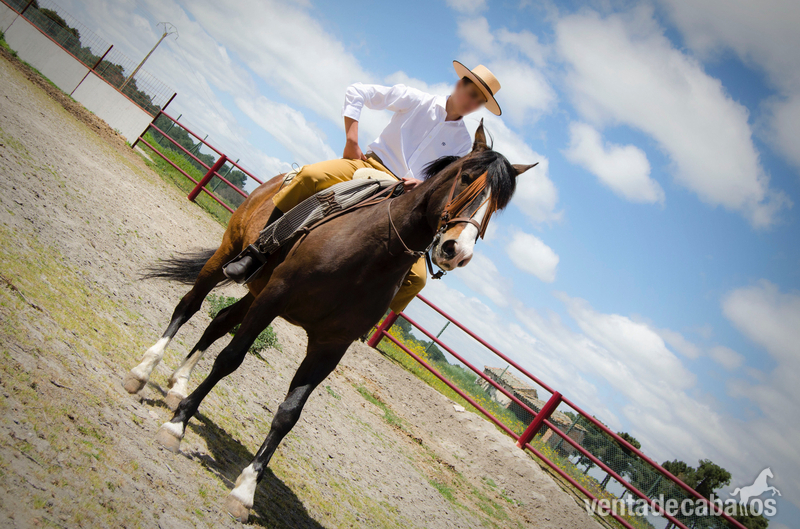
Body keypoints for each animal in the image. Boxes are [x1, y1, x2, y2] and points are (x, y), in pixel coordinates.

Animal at [122, 121, 536, 521]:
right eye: (467, 177)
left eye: (497, 206)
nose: (456, 251)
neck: (370, 250)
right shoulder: (273, 300)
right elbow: (228, 360)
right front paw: (176, 427)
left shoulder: (329, 346)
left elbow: (289, 413)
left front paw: (245, 490)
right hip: (228, 257)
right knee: (190, 306)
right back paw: (143, 372)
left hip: (255, 292)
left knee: (218, 321)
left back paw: (179, 383)